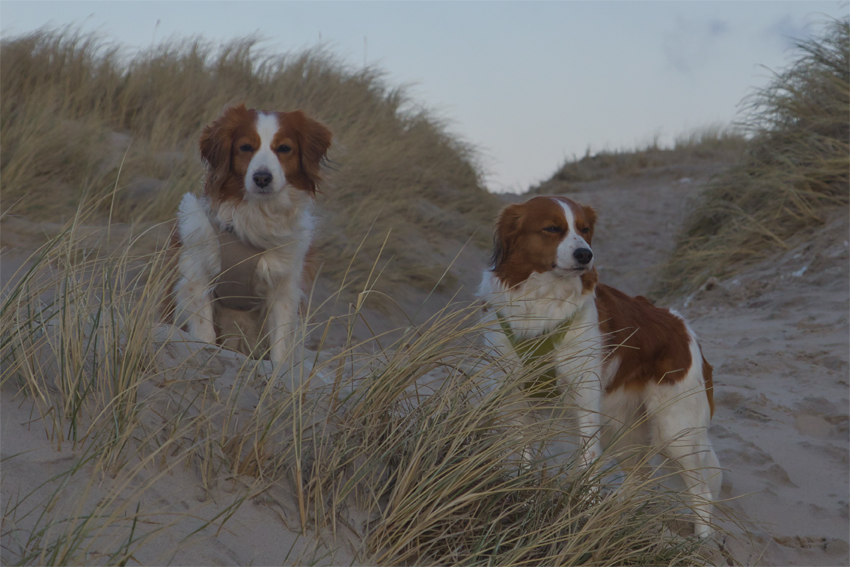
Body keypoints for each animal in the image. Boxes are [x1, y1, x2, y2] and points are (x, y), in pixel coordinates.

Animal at [169, 103, 332, 362]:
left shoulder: (283, 289)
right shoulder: (197, 275)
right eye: (246, 147)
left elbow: (280, 345)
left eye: (284, 148)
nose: (262, 178)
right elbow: (205, 333)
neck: (256, 216)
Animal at [480, 195, 720, 536]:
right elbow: (524, 453)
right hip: (623, 426)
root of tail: (682, 326)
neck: (543, 299)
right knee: (640, 478)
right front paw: (522, 495)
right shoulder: (514, 393)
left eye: (584, 229)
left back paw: (700, 541)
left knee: (702, 492)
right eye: (552, 228)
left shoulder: (584, 393)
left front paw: (582, 508)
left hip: (676, 430)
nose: (585, 255)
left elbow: (587, 456)